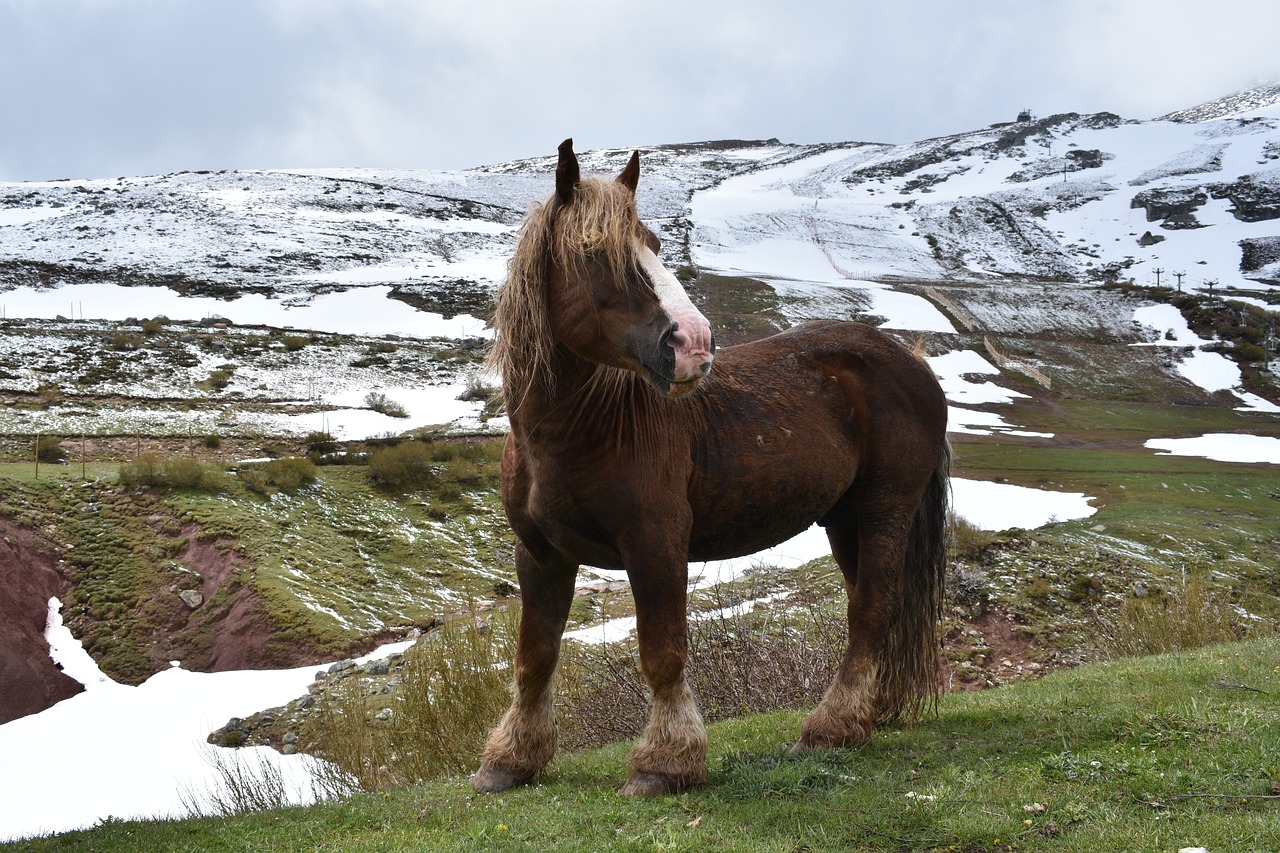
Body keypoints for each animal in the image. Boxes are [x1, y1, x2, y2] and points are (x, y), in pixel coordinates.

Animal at [473, 139, 952, 799]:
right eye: (594, 252)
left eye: (651, 242)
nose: (694, 345)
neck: (581, 432)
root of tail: (911, 361)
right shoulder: (541, 554)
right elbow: (535, 657)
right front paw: (512, 760)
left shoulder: (655, 545)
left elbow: (662, 653)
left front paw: (664, 763)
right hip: (844, 518)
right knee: (872, 609)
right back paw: (863, 717)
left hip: (886, 506)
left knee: (872, 610)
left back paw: (828, 728)